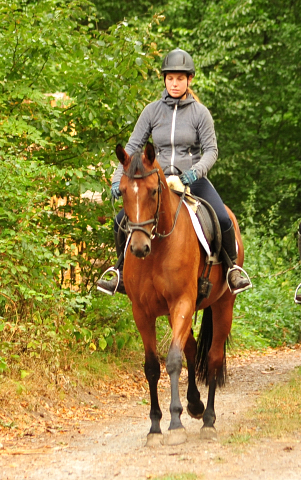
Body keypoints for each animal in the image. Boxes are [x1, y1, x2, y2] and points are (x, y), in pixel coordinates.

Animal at [116, 142, 243, 446]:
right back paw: (195, 404)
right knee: (192, 348)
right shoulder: (143, 312)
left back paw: (208, 419)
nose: (138, 248)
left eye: (153, 190)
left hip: (223, 305)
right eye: (123, 190)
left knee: (213, 358)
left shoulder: (181, 302)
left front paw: (175, 424)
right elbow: (152, 366)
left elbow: (173, 360)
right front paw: (154, 427)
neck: (158, 249)